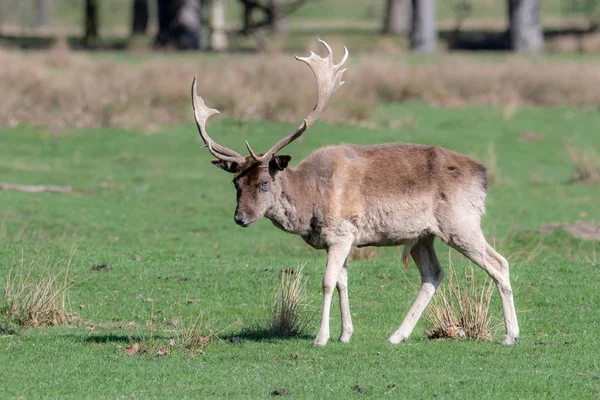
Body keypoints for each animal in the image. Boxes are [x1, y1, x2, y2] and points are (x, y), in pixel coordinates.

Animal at [190, 41, 516, 346]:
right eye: (236, 184)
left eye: (264, 183)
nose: (240, 218)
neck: (310, 200)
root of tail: (482, 175)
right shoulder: (342, 239)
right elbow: (342, 282)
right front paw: (345, 334)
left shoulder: (342, 231)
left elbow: (327, 281)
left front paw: (321, 337)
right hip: (424, 235)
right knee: (433, 274)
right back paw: (397, 335)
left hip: (460, 222)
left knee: (498, 263)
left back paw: (510, 335)